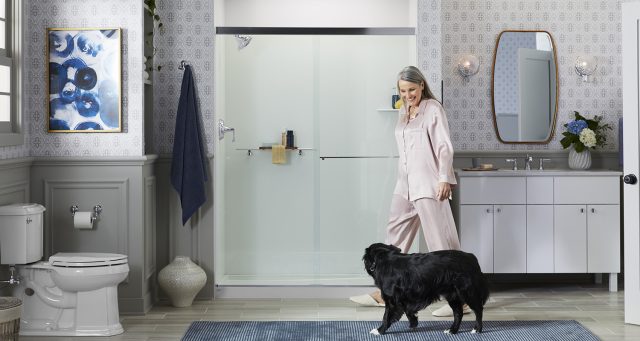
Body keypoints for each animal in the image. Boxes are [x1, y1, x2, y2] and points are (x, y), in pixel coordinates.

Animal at [360, 242, 490, 334]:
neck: (384, 259)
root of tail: (472, 258)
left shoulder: (392, 301)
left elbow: (386, 317)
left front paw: (379, 331)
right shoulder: (404, 299)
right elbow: (408, 311)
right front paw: (413, 323)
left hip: (467, 292)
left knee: (478, 310)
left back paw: (477, 329)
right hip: (453, 295)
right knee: (459, 313)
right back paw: (452, 330)